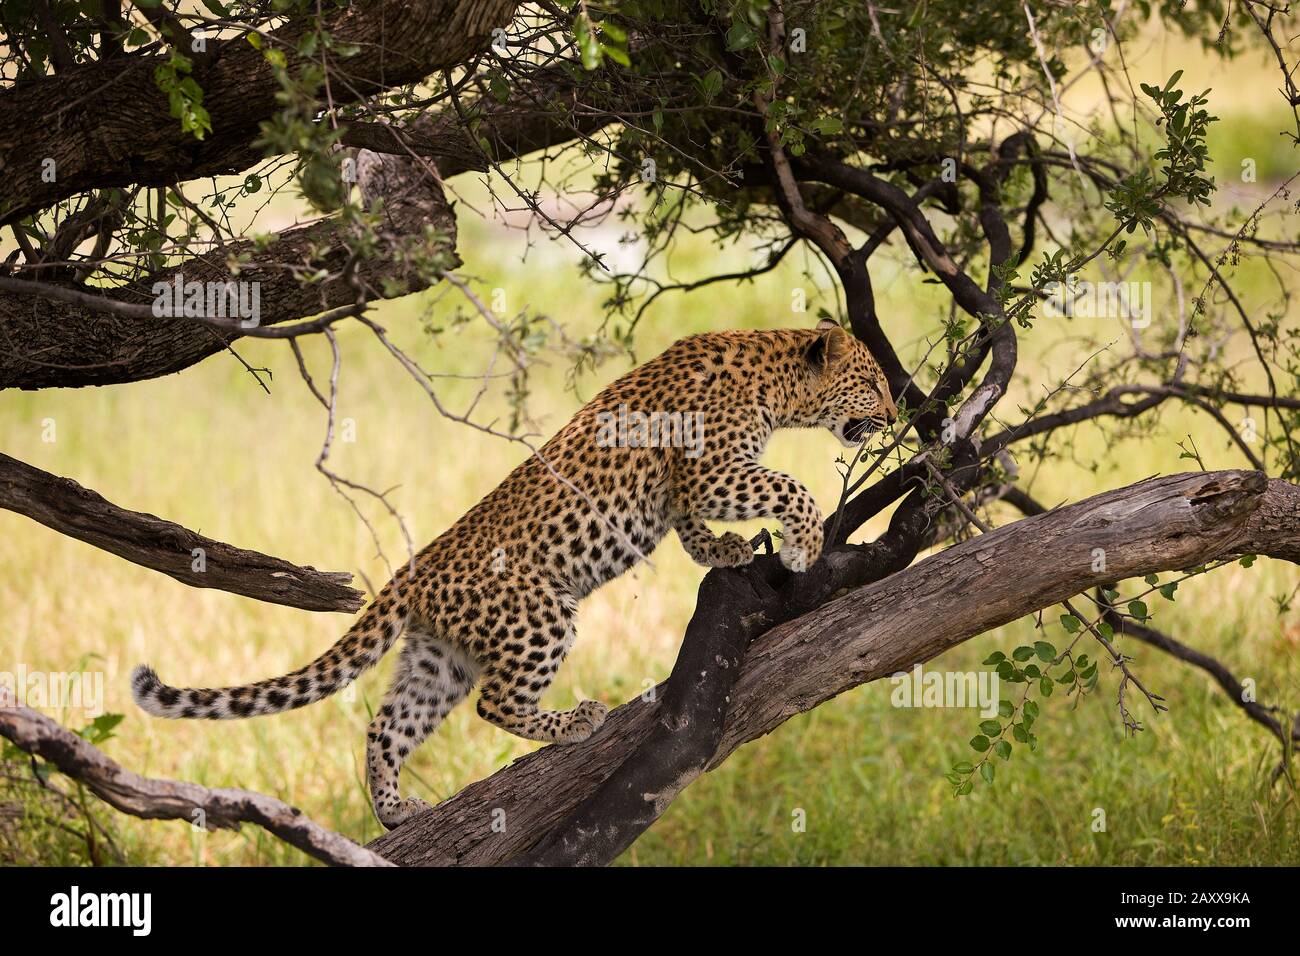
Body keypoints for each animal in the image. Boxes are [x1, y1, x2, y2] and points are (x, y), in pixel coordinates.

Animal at [137, 321, 899, 832]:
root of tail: (416, 569)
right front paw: (801, 546)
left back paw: (395, 812)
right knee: (495, 703)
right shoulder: (713, 468)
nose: (896, 415)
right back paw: (575, 722)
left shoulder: (688, 486)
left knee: (389, 726)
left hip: (439, 658)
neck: (774, 377)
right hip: (539, 615)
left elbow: (693, 529)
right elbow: (789, 485)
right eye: (872, 384)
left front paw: (728, 550)